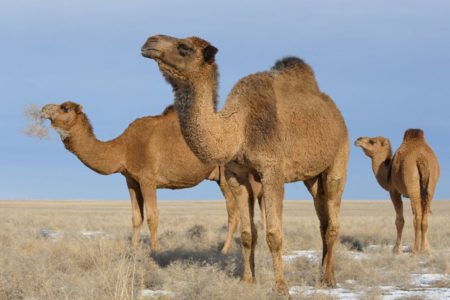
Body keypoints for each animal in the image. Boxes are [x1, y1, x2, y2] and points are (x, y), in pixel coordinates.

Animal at [42, 101, 264, 251]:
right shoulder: (131, 180)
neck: (122, 148)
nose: (43, 109)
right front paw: (133, 250)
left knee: (233, 212)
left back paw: (224, 251)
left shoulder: (148, 179)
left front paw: (154, 250)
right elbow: (136, 217)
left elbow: (152, 216)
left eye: (64, 108)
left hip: (227, 174)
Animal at [142, 34, 350, 292]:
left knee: (332, 220)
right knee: (322, 219)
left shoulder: (272, 171)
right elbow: (247, 233)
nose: (150, 42)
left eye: (184, 47)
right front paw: (247, 280)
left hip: (338, 158)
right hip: (312, 177)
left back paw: (328, 279)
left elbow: (273, 234)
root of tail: (335, 112)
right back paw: (325, 274)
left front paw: (281, 287)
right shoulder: (236, 176)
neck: (238, 130)